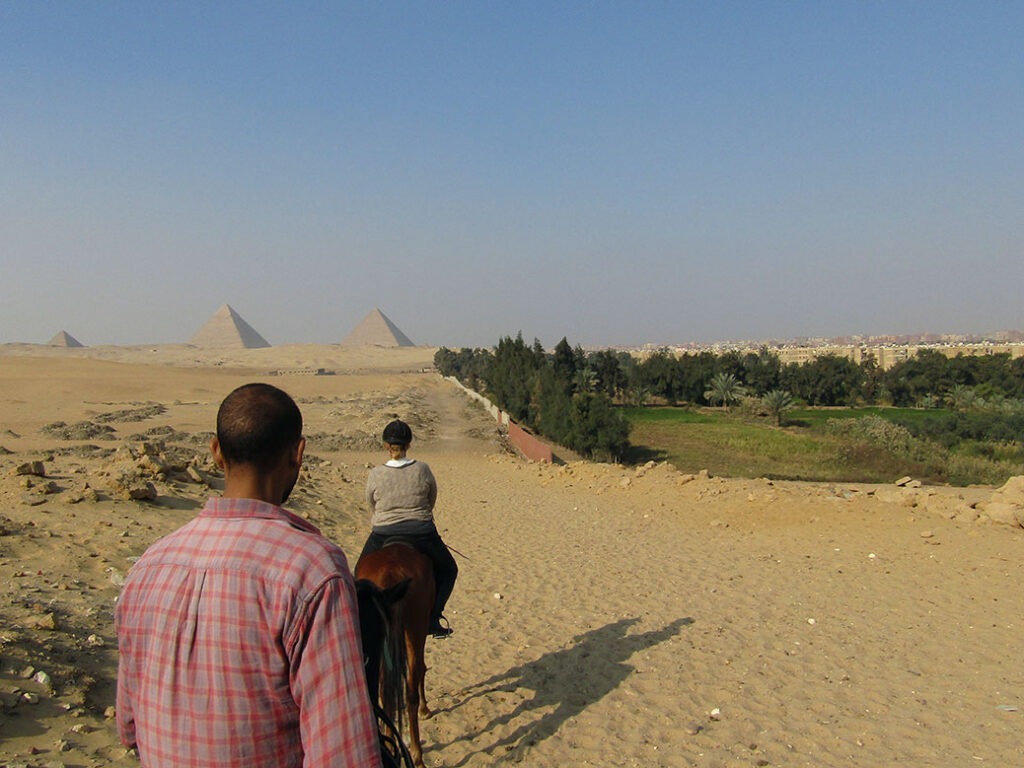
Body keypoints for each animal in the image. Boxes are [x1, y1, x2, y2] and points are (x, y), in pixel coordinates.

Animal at [356, 540, 436, 768]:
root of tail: (390, 571)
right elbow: (420, 669)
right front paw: (425, 708)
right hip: (416, 628)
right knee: (411, 687)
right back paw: (417, 755)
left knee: (387, 694)